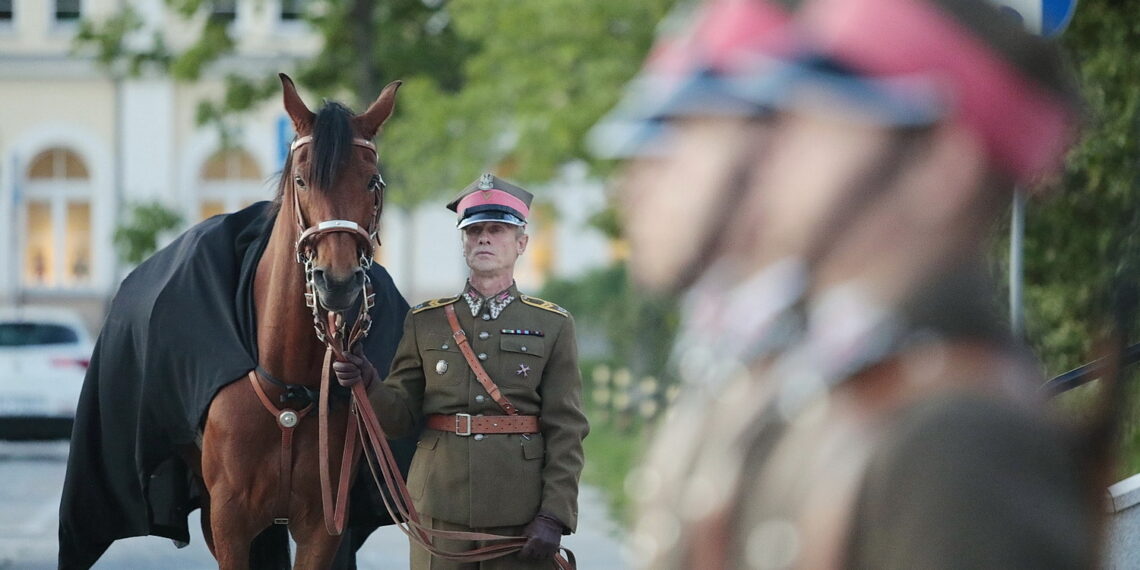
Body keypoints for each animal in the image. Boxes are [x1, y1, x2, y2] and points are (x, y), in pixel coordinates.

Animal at [193, 73, 408, 567]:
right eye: (301, 180)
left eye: (372, 182)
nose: (339, 282)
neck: (287, 388)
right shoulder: (227, 522)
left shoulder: (321, 526)